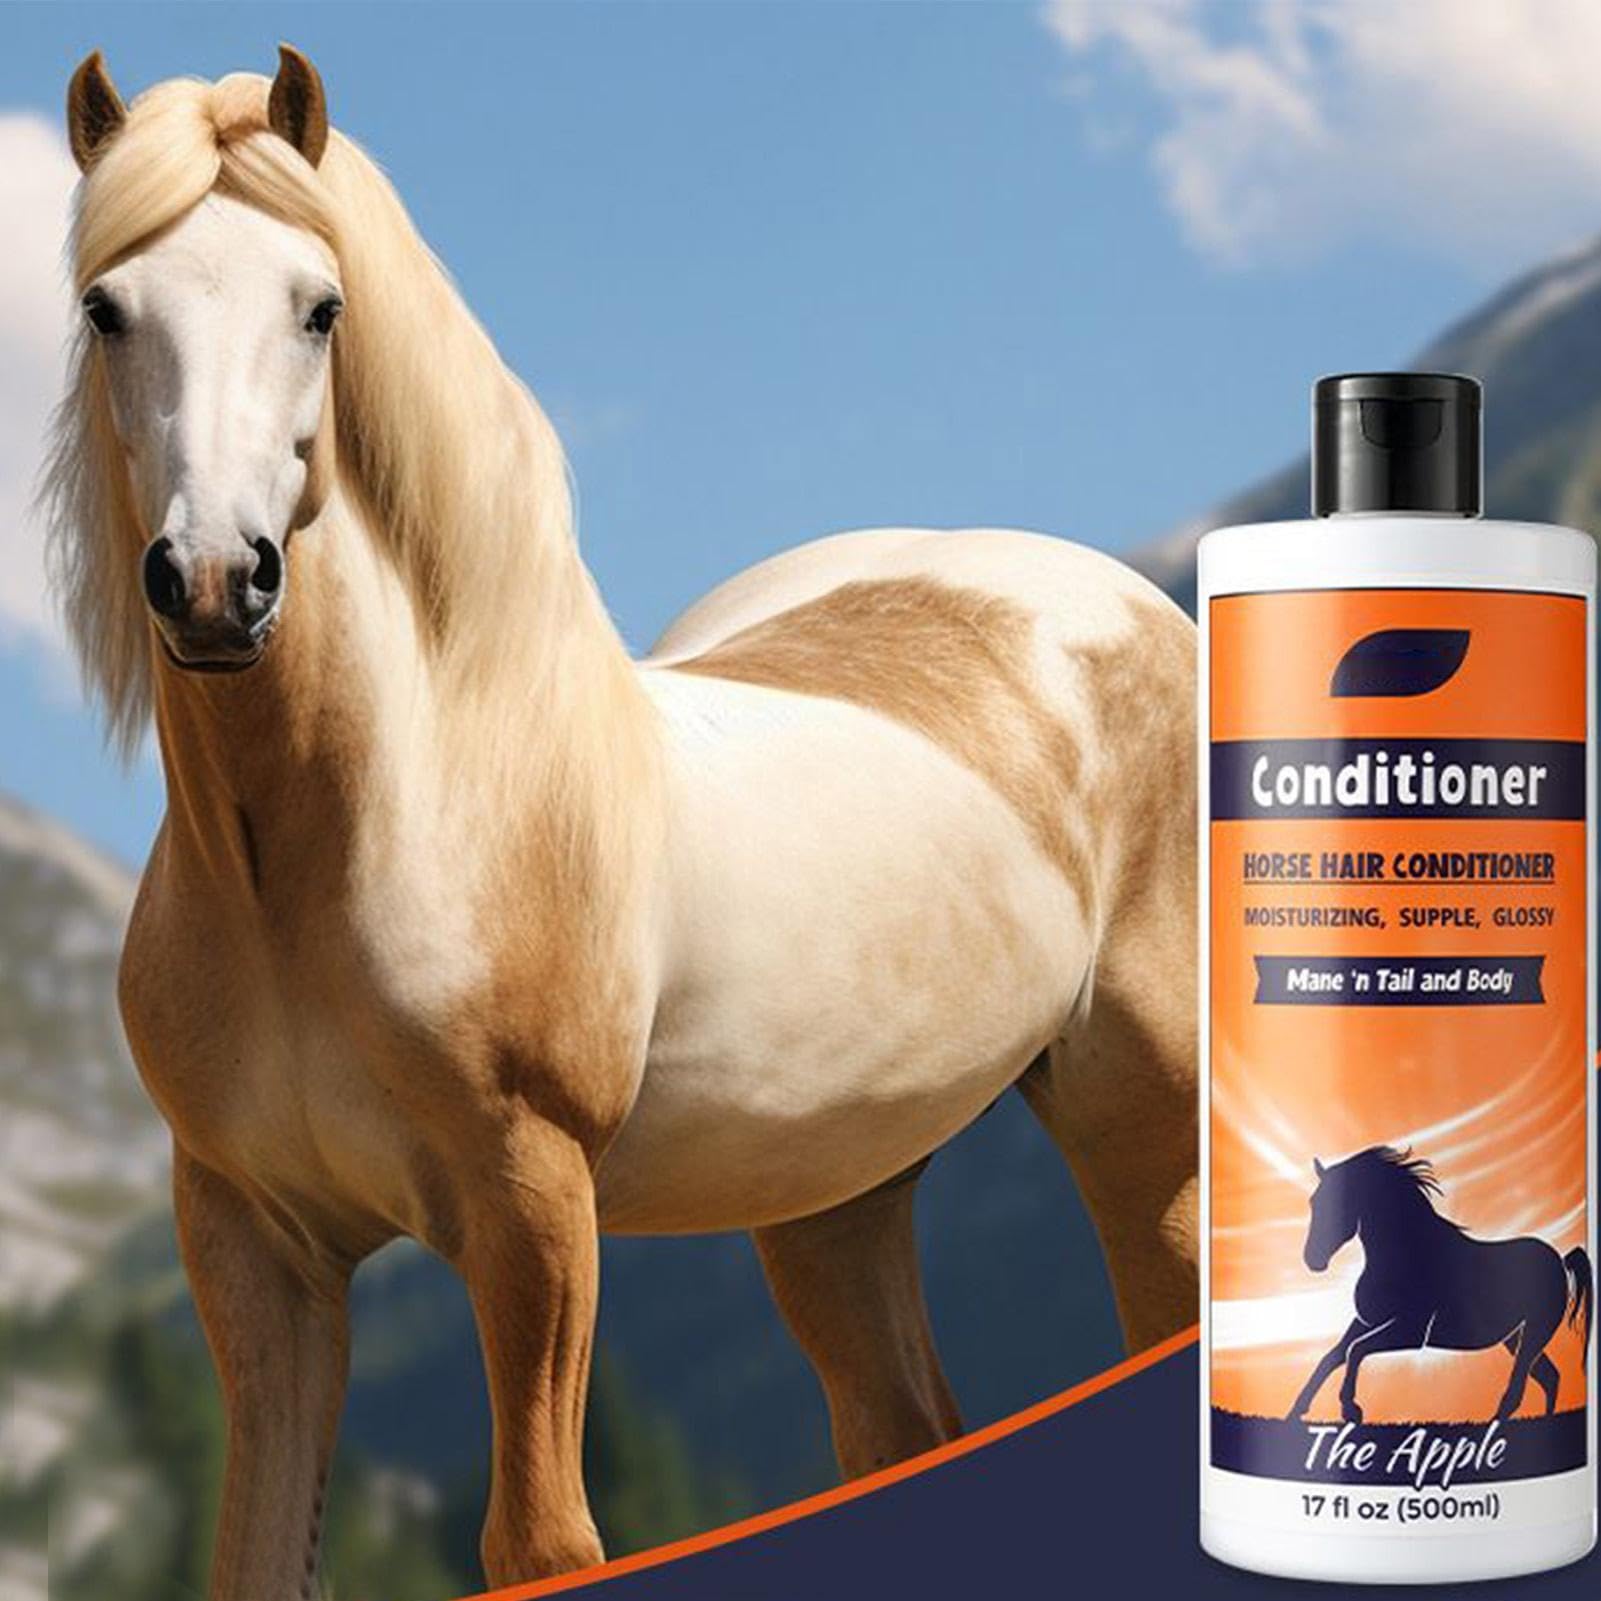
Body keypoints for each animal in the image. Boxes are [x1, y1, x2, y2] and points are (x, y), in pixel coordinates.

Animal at [47, 48, 1198, 1597]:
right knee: (899, 1426)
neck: (343, 848)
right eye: (106, 306)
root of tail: (1129, 602)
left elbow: (541, 1535)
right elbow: (254, 1552)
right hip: (833, 1190)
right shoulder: (253, 1240)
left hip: (1144, 1123)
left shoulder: (531, 1204)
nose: (219, 583)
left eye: (321, 305)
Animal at [1288, 1147, 1593, 1427]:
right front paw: (1297, 1412)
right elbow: (1332, 1357)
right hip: (1515, 1338)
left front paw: (1350, 1409)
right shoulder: (1365, 1321)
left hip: (1534, 1333)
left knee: (1517, 1391)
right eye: (1313, 1202)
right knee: (1550, 1377)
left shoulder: (1411, 1331)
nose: (1312, 1259)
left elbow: (1355, 1351)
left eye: (1343, 1200)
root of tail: (1559, 1259)